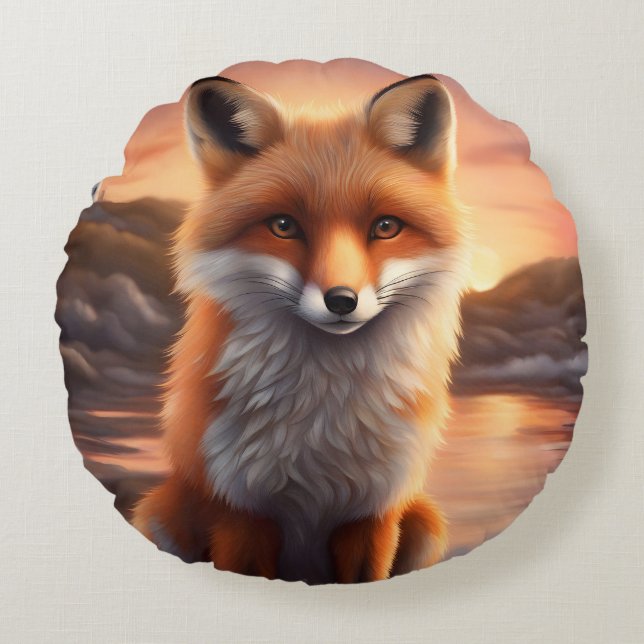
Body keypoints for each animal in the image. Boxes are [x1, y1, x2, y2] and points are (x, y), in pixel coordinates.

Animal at [132, 73, 472, 584]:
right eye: (283, 225)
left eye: (385, 227)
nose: (342, 301)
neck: (324, 425)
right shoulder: (240, 509)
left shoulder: (373, 512)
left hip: (426, 523)